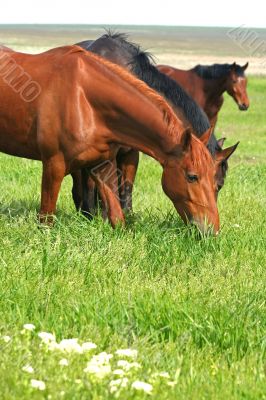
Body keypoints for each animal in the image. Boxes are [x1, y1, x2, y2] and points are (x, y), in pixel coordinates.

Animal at [0, 45, 220, 234]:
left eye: (214, 178)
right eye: (192, 176)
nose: (212, 230)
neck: (83, 98)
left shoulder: (102, 165)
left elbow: (117, 217)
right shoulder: (53, 165)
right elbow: (46, 221)